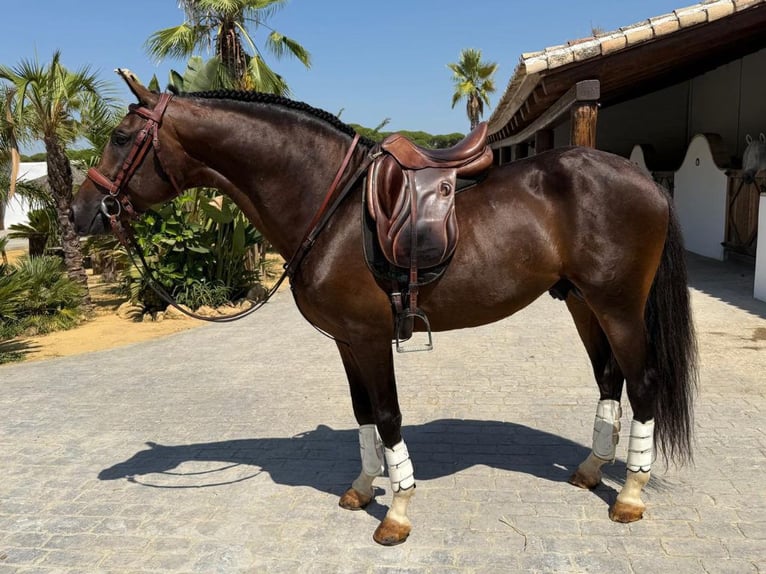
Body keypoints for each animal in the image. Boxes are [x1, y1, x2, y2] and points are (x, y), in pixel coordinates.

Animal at [71, 70, 697, 546]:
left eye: (122, 137)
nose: (80, 213)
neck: (333, 203)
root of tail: (644, 179)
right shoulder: (348, 340)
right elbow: (363, 413)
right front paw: (362, 487)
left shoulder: (372, 338)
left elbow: (390, 415)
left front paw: (396, 513)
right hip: (582, 304)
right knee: (609, 378)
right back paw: (591, 471)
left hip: (619, 307)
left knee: (642, 383)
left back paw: (630, 496)